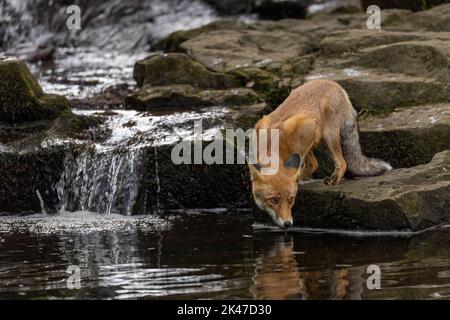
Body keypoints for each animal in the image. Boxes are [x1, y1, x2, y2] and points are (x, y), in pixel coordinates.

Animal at [248, 81, 392, 229]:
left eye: (291, 200)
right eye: (274, 200)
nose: (288, 224)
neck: (273, 145)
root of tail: (336, 85)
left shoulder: (308, 127)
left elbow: (306, 168)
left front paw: (298, 181)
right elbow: (310, 166)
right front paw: (298, 180)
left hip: (328, 136)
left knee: (342, 163)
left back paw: (334, 180)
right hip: (319, 139)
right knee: (316, 163)